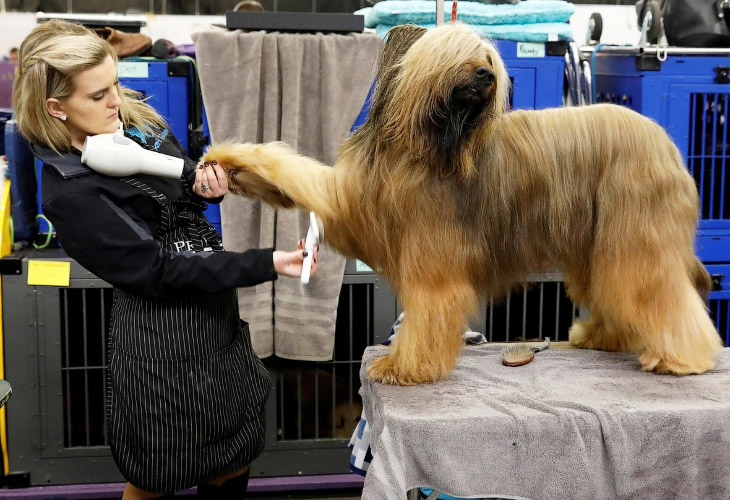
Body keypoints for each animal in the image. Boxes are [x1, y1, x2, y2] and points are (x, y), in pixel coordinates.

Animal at [202, 23, 720, 386]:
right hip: (599, 247)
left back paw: (682, 358)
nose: (487, 74)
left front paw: (406, 366)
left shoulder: (433, 257)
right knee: (620, 294)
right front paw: (229, 163)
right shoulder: (358, 203)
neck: (428, 146)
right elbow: (298, 175)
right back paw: (603, 337)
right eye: (454, 55)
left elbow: (429, 312)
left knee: (657, 293)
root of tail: (665, 143)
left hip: (635, 239)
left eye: (487, 57)